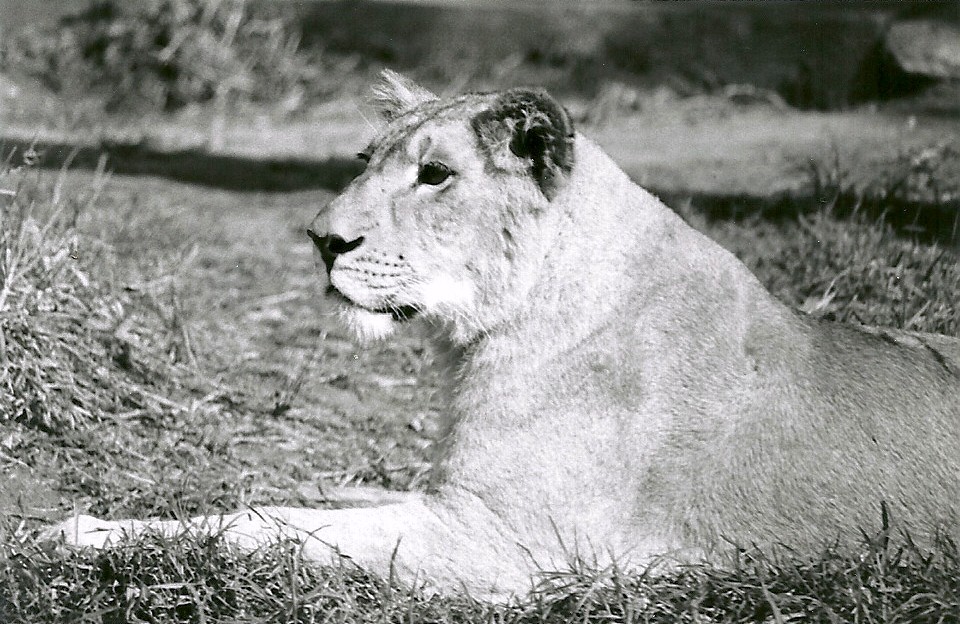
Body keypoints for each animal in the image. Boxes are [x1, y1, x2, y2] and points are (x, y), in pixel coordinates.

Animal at [49, 71, 960, 599]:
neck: (488, 330)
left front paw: (86, 534)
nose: (320, 239)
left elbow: (274, 526)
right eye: (365, 158)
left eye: (435, 175)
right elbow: (320, 505)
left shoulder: (508, 545)